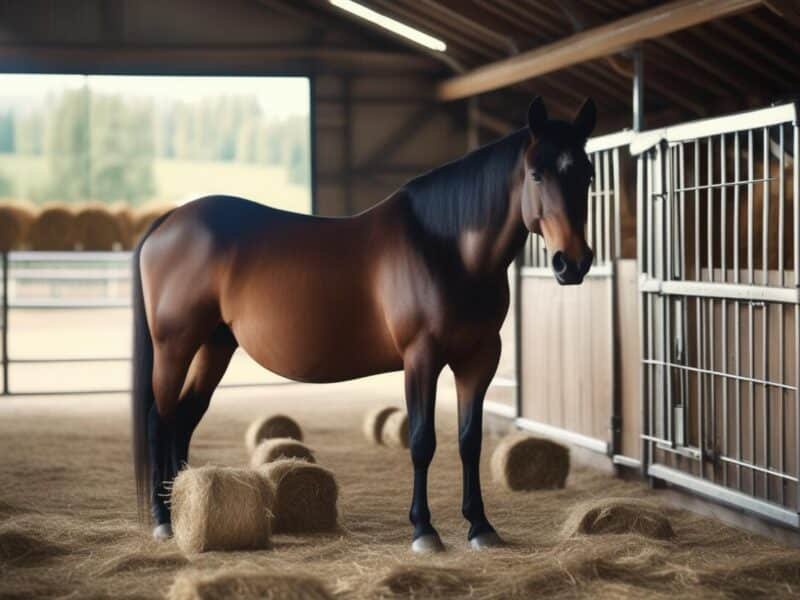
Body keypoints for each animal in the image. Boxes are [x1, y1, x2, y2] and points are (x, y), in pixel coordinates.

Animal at [132, 96, 596, 552]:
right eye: (536, 174)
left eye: (588, 175)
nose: (572, 263)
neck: (445, 249)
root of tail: (166, 222)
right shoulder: (421, 357)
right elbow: (422, 441)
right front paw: (424, 530)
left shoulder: (478, 358)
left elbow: (470, 441)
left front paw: (480, 526)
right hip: (175, 345)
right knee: (160, 418)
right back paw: (163, 519)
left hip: (214, 345)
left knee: (184, 417)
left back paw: (180, 501)